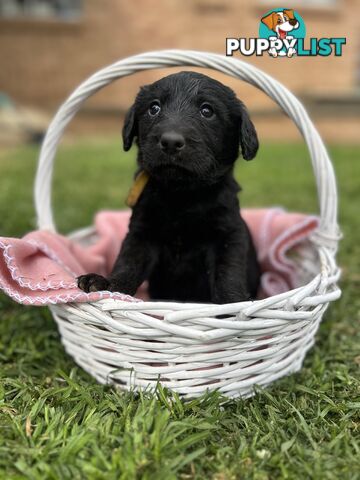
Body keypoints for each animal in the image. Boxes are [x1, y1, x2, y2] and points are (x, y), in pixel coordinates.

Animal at [77, 71, 260, 304]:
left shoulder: (228, 235)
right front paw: (108, 284)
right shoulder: (142, 233)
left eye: (207, 111)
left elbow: (228, 272)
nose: (171, 142)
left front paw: (234, 302)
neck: (181, 194)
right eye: (154, 108)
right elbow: (129, 262)